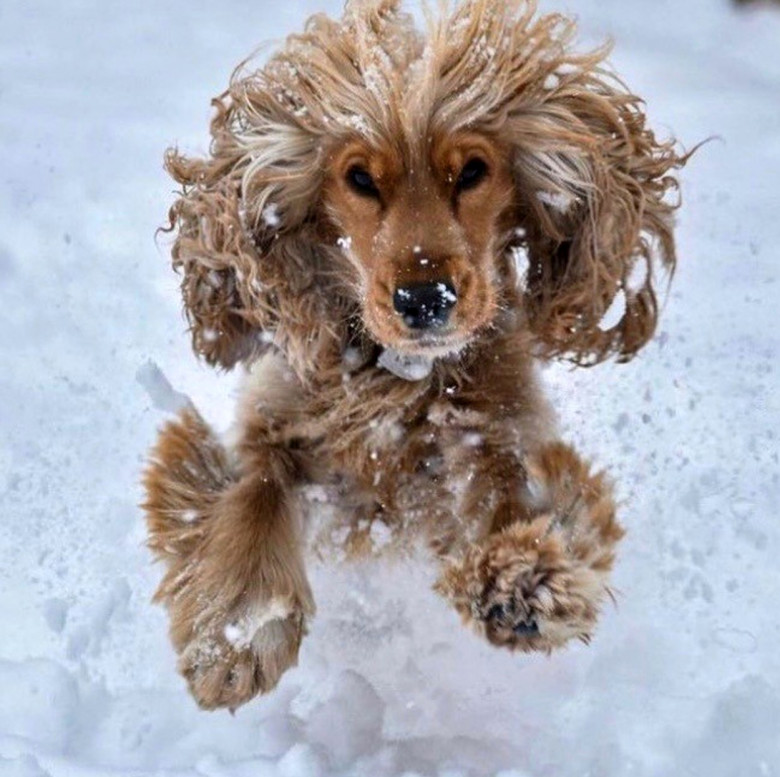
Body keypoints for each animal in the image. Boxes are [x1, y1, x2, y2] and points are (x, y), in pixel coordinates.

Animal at [143, 0, 684, 708]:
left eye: (474, 171)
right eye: (359, 179)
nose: (425, 299)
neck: (397, 380)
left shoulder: (491, 431)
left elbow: (506, 490)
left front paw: (525, 581)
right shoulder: (278, 421)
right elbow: (252, 492)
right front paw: (239, 632)